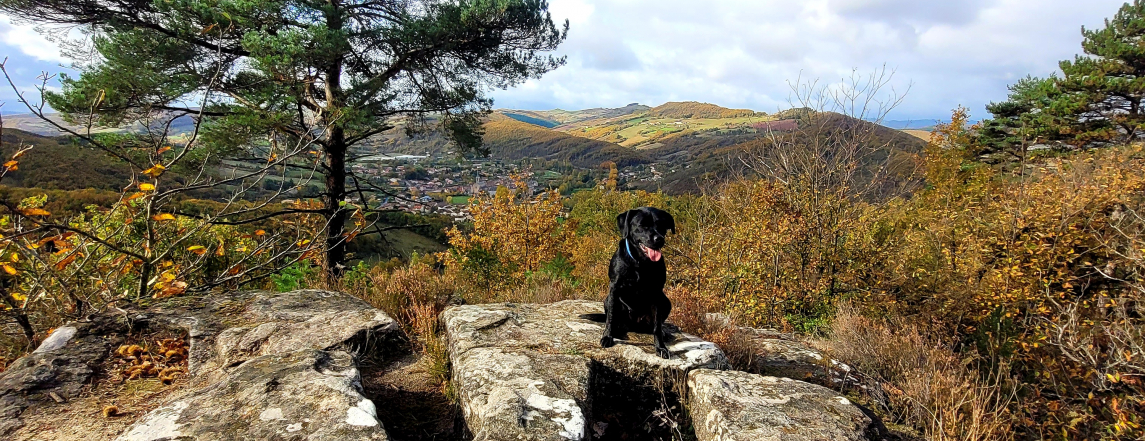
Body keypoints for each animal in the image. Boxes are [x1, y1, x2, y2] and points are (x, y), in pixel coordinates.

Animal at [581, 206, 668, 357]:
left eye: (662, 225)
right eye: (642, 225)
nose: (659, 239)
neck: (640, 263)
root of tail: (635, 325)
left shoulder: (657, 293)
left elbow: (657, 325)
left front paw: (661, 347)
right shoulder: (614, 288)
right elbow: (610, 318)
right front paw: (607, 337)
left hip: (666, 302)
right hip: (608, 299)